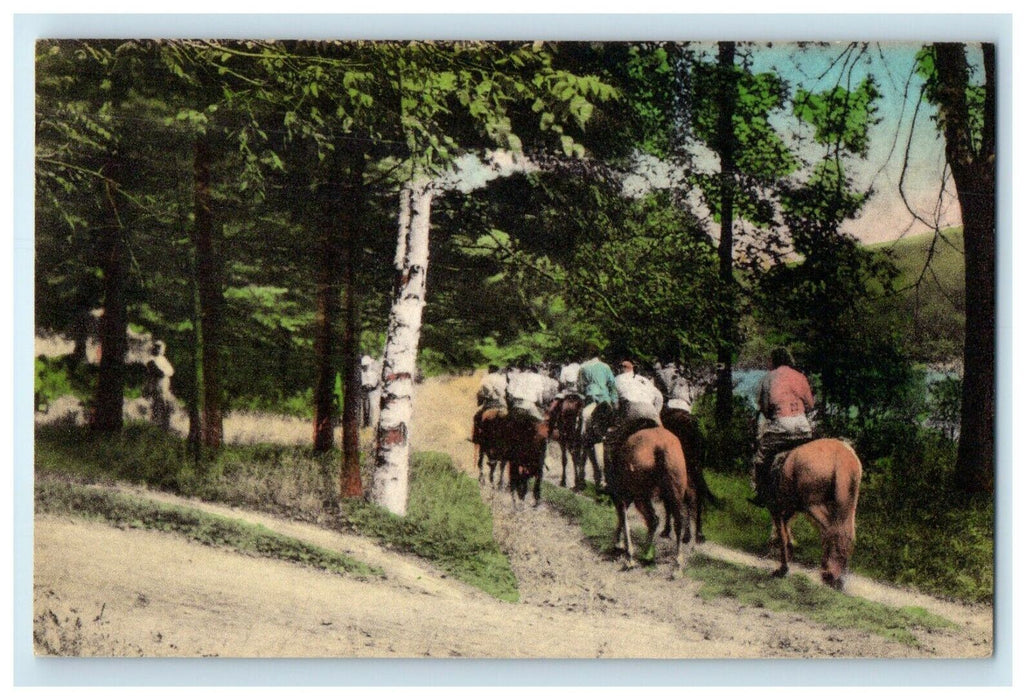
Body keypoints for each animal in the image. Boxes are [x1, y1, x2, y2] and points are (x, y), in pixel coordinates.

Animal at [603, 427, 694, 569]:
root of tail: (662, 447)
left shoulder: (624, 492)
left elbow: (623, 515)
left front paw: (623, 549)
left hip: (641, 492)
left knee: (652, 518)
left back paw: (635, 556)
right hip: (674, 487)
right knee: (676, 519)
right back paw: (675, 559)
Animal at [772, 441, 859, 590]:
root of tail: (842, 457)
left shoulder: (781, 504)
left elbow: (782, 531)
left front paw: (783, 568)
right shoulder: (790, 507)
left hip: (813, 503)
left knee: (830, 529)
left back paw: (828, 573)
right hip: (849, 502)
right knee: (846, 532)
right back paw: (838, 579)